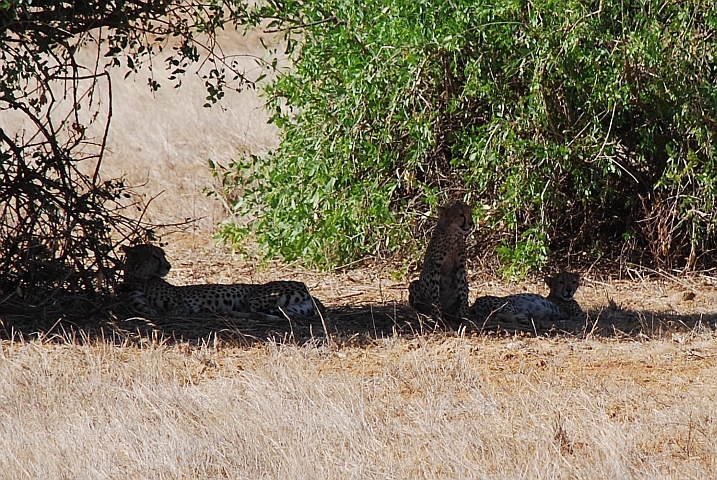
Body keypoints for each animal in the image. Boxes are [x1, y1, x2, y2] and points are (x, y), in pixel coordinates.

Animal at [121, 244, 324, 318]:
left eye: (162, 254)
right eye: (155, 256)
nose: (168, 266)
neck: (139, 279)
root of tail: (303, 285)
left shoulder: (180, 305)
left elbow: (174, 311)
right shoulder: (134, 298)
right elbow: (142, 307)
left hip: (254, 297)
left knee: (254, 312)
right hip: (292, 308)